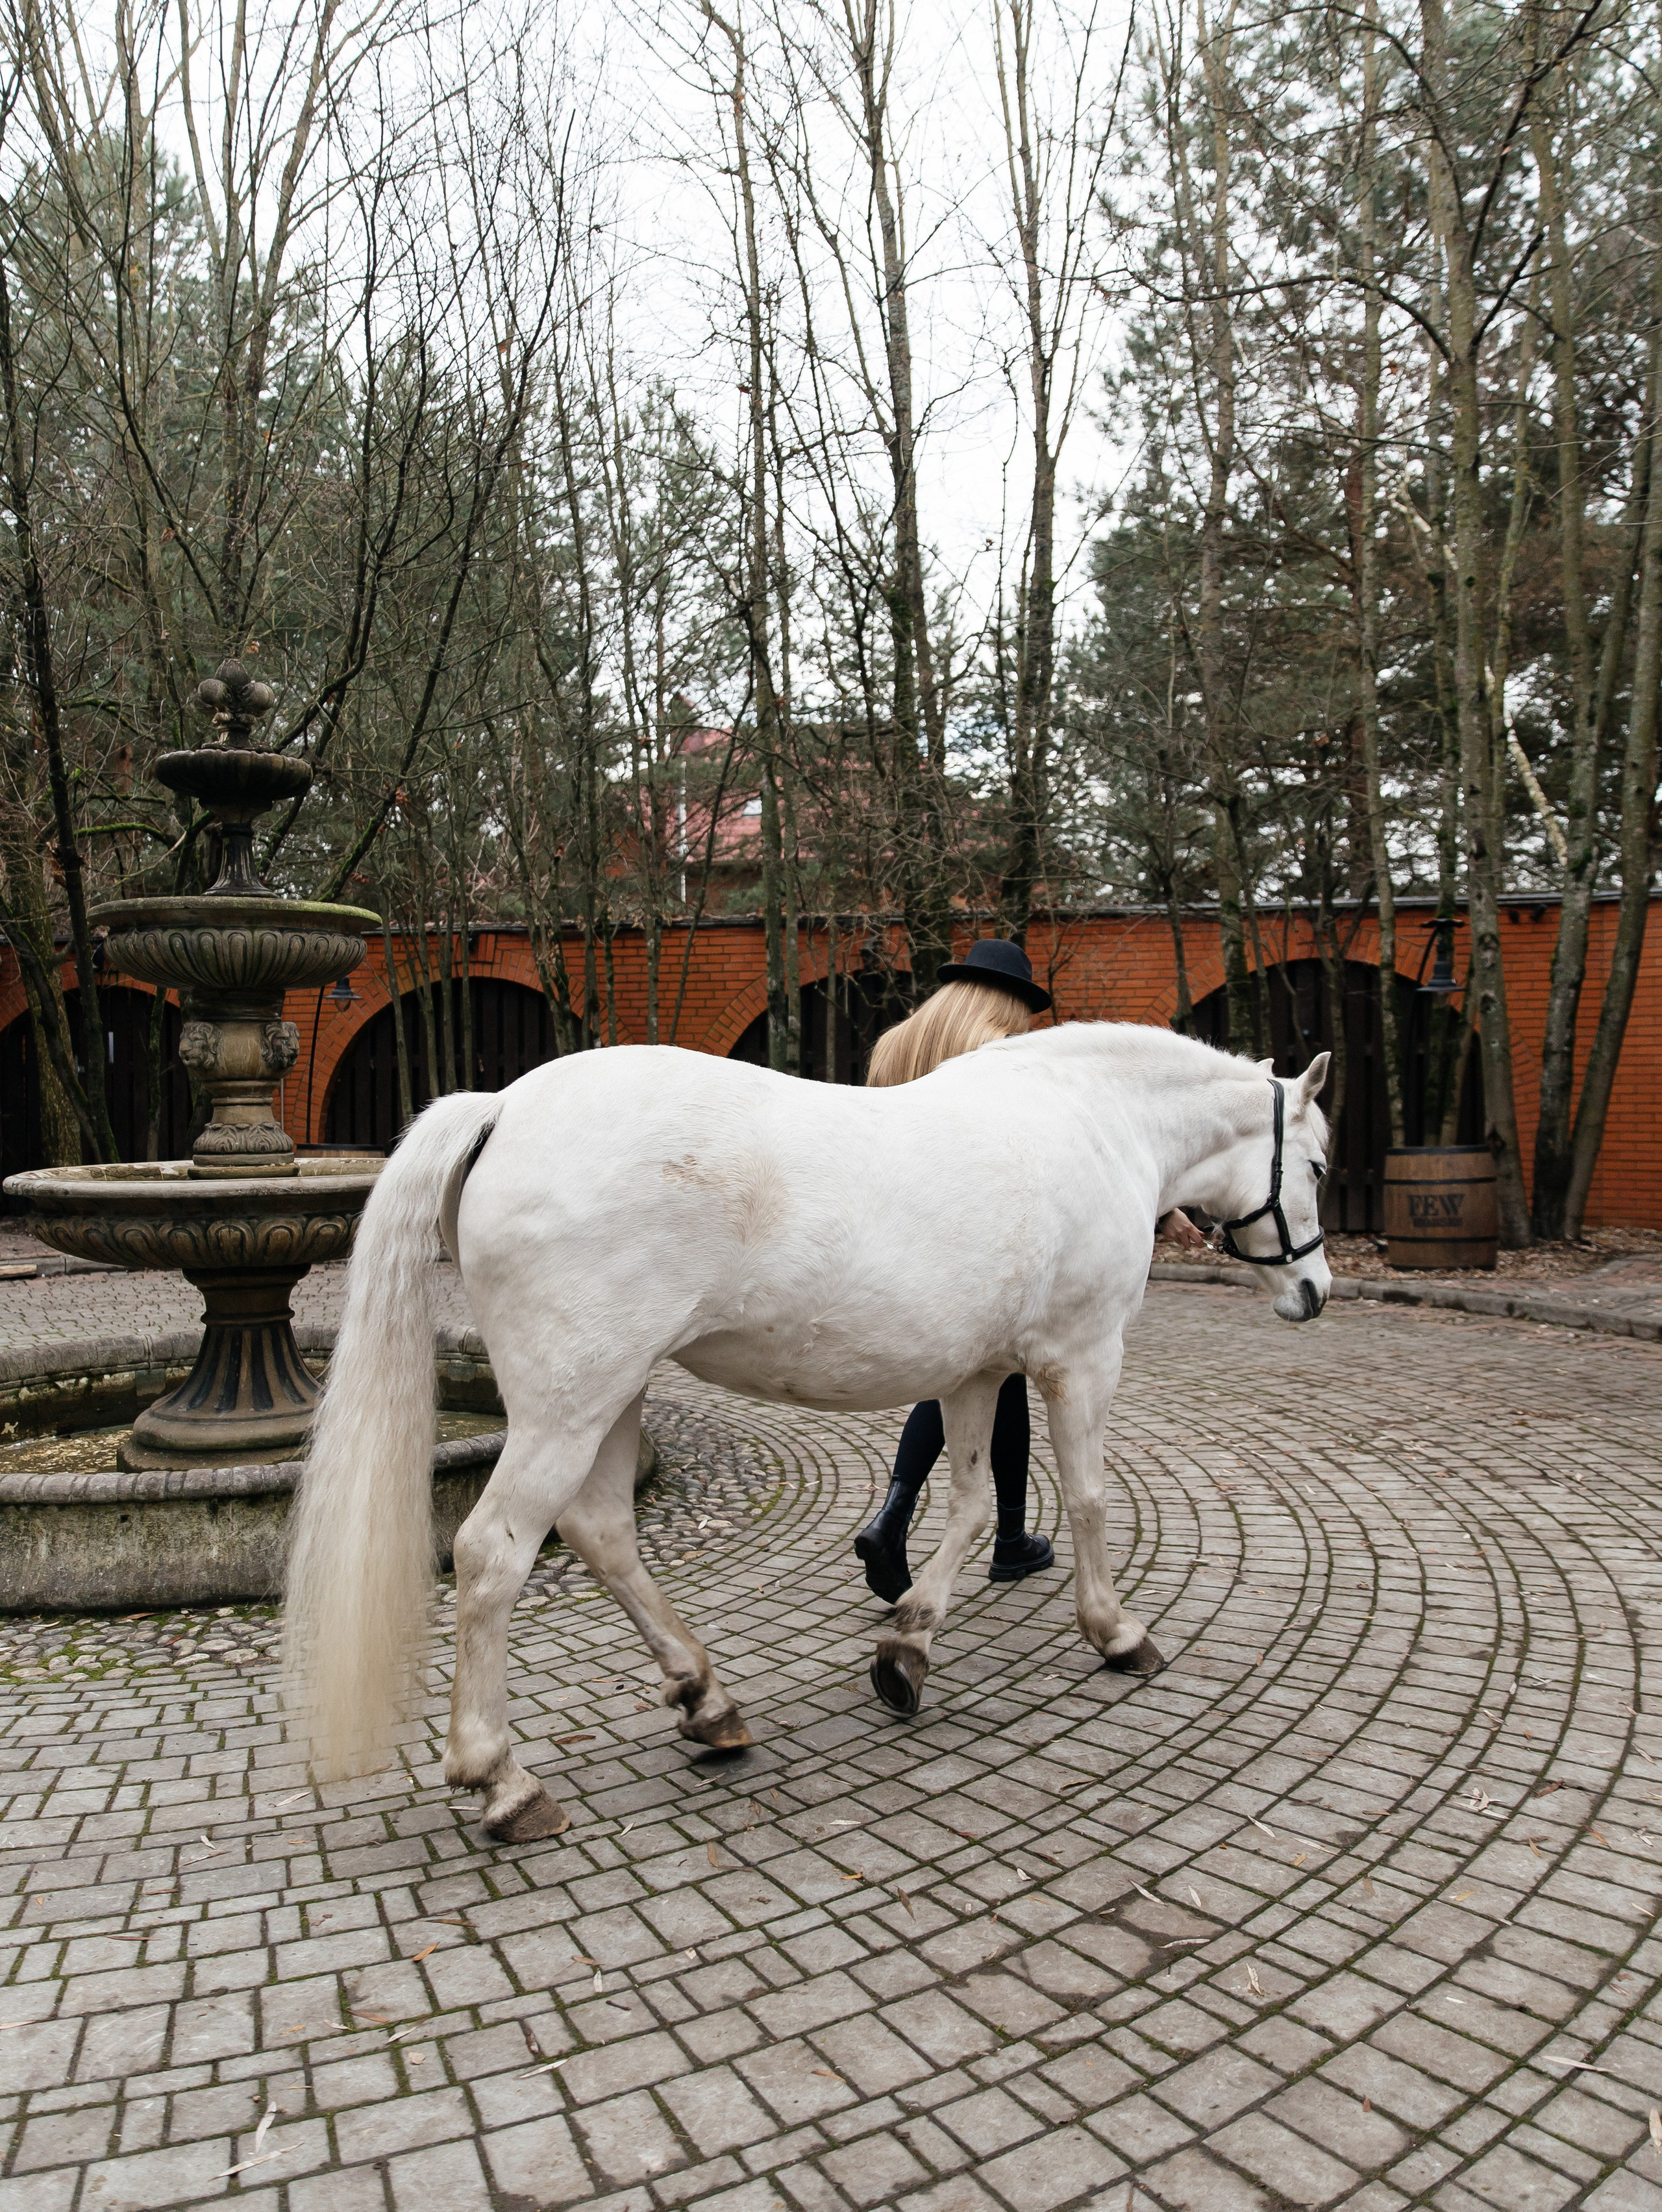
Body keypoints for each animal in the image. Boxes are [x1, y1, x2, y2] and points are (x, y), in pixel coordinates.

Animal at [284, 1021, 1331, 1842]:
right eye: (1318, 1163)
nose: (1316, 1291)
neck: (1093, 1121)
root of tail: (502, 1107)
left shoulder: (976, 1373)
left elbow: (967, 1499)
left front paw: (907, 1647)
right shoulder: (1082, 1358)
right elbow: (1084, 1497)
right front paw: (1116, 1632)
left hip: (608, 1397)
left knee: (603, 1532)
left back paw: (708, 1703)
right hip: (569, 1405)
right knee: (493, 1552)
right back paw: (503, 1780)